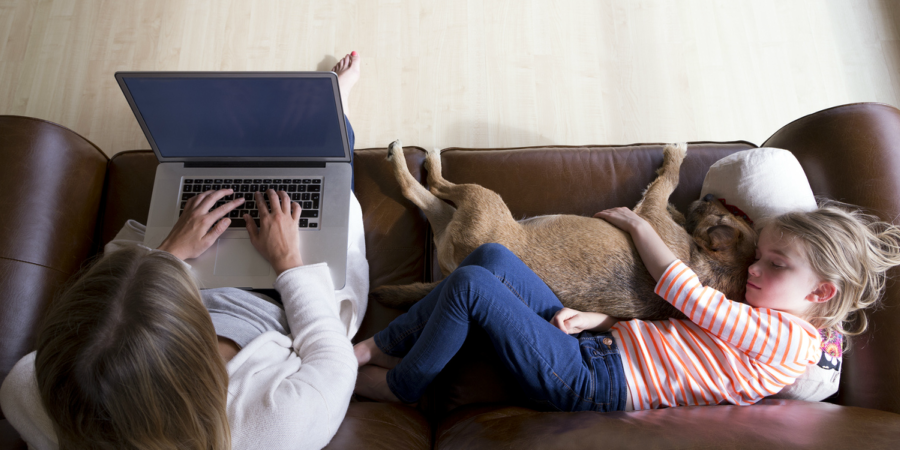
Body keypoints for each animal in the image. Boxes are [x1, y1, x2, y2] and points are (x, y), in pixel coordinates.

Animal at [374, 141, 760, 320]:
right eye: (734, 213)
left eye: (724, 215)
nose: (707, 196)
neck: (709, 266)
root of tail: (458, 265)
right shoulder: (655, 210)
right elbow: (666, 192)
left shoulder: (649, 211)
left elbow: (667, 180)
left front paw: (675, 157)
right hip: (459, 215)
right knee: (426, 192)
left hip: (481, 200)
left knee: (428, 186)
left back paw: (413, 157)